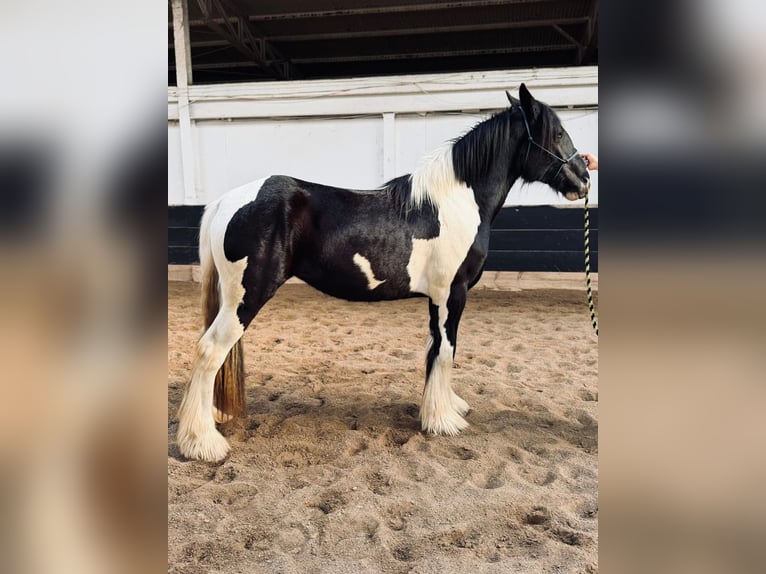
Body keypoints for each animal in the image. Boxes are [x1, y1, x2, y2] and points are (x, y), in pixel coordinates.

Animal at [176, 83, 590, 462]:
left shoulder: (438, 299)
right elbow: (447, 351)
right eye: (557, 133)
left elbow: (435, 350)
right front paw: (444, 421)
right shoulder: (452, 293)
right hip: (246, 298)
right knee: (210, 351)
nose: (584, 178)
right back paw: (203, 443)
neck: (456, 203)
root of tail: (225, 200)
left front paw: (444, 408)